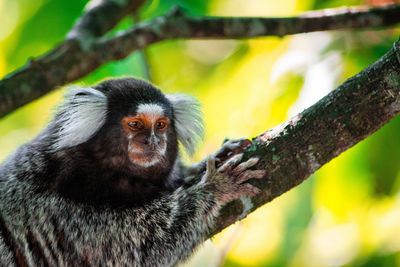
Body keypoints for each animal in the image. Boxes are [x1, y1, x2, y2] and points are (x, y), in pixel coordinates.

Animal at [0, 78, 266, 266]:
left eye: (161, 125)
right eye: (135, 124)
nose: (153, 141)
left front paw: (215, 158)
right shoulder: (61, 213)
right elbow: (145, 249)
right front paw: (216, 186)